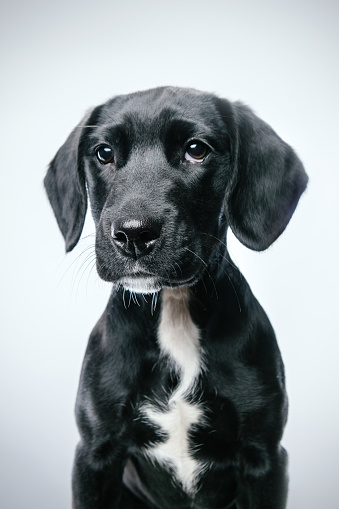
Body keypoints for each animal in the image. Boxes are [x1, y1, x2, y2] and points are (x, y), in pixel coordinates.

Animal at [44, 85, 308, 506]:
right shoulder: (96, 453)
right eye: (104, 153)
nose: (134, 233)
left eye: (196, 149)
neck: (174, 308)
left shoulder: (265, 460)